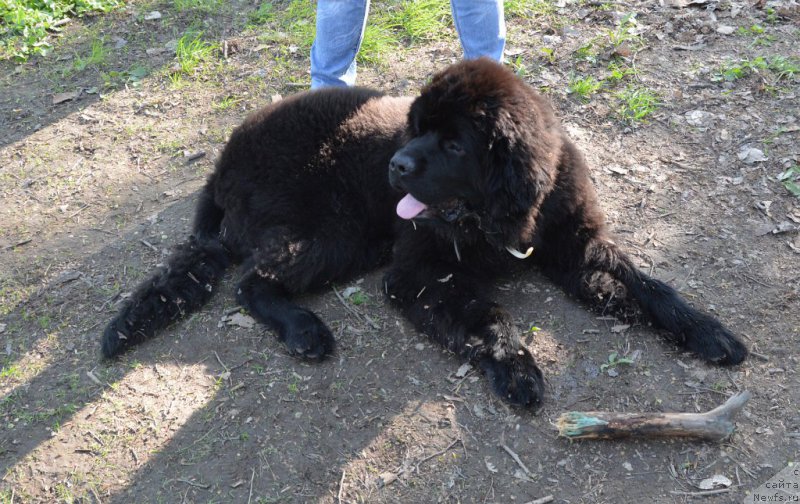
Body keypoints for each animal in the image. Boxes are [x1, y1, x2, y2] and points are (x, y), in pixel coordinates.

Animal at [103, 59, 748, 408]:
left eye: (455, 144)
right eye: (415, 128)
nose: (396, 165)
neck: (502, 216)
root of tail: (222, 163)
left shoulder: (578, 247)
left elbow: (649, 286)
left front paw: (709, 331)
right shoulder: (421, 271)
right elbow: (487, 315)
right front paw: (517, 368)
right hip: (333, 234)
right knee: (250, 282)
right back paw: (305, 330)